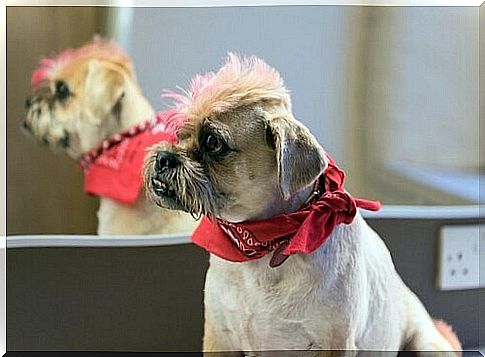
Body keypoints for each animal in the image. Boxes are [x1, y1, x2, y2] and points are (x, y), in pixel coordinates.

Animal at [144, 53, 462, 354]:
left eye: (212, 142)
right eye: (179, 134)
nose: (164, 158)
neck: (266, 243)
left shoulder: (334, 342)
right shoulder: (219, 337)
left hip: (428, 346)